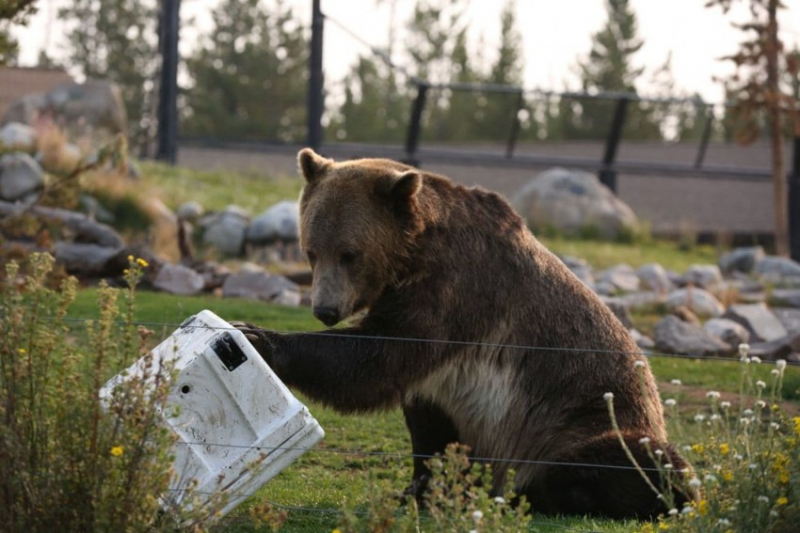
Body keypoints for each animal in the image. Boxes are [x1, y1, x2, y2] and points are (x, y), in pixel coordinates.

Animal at [234, 148, 692, 516]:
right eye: (311, 251)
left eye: (350, 253)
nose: (325, 310)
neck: (412, 255)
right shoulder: (448, 369)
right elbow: (429, 417)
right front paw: (421, 488)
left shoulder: (456, 291)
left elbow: (376, 358)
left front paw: (258, 338)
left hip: (580, 419)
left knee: (642, 462)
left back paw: (533, 489)